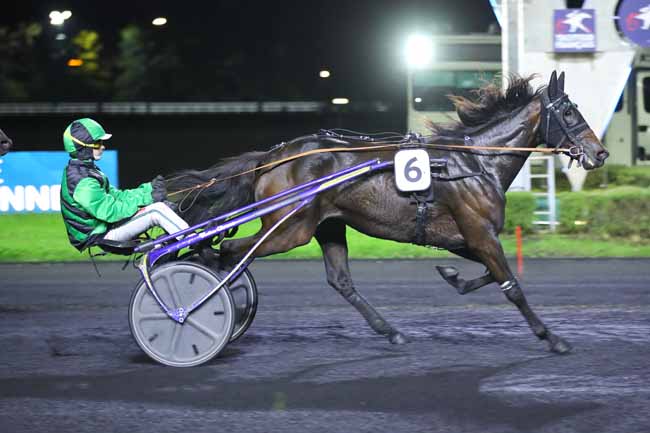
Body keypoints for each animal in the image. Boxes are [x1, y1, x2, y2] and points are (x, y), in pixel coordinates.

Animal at [167, 72, 608, 352]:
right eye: (569, 112)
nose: (600, 153)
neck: (475, 163)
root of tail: (272, 157)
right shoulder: (480, 232)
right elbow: (511, 285)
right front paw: (552, 338)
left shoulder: (463, 237)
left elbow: (485, 275)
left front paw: (452, 277)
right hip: (289, 229)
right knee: (230, 252)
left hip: (327, 226)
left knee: (339, 281)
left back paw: (390, 331)